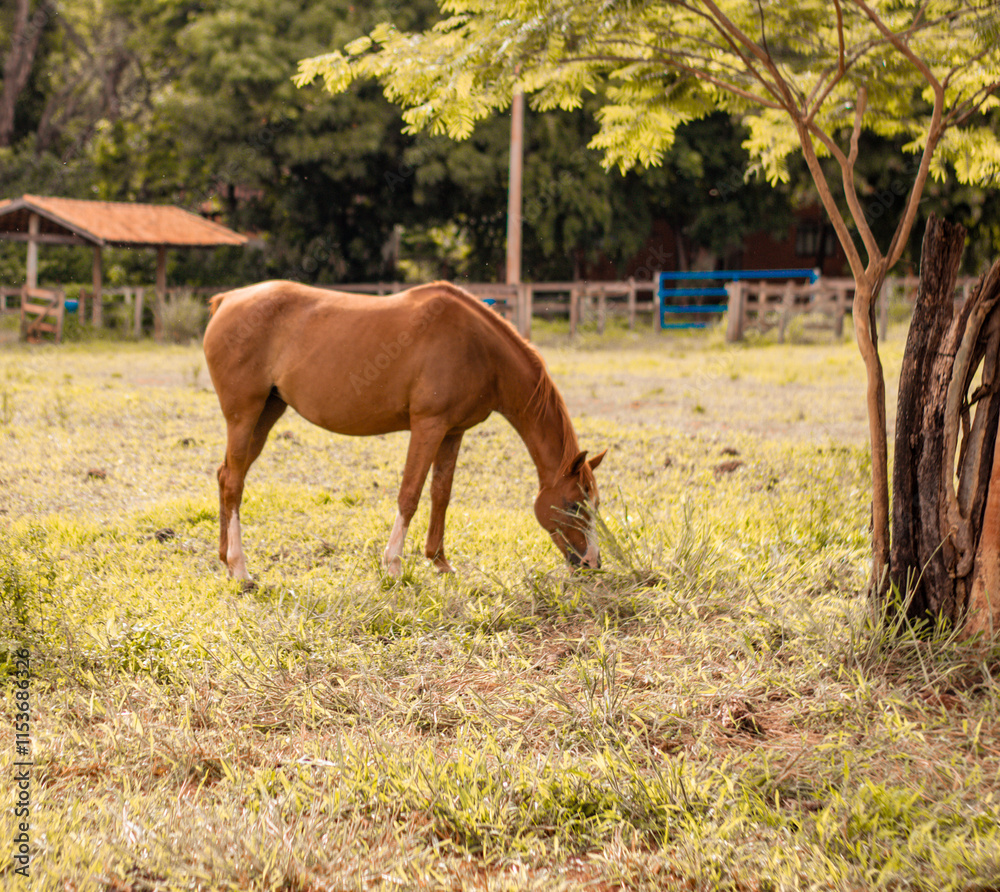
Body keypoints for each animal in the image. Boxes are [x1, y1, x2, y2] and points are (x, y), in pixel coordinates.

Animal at [202, 280, 606, 582]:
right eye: (573, 504)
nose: (592, 564)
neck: (479, 349)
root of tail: (227, 300)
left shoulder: (453, 432)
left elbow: (441, 494)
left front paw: (439, 561)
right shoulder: (428, 426)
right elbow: (409, 494)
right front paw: (394, 565)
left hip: (265, 415)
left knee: (227, 476)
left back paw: (225, 559)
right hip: (244, 416)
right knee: (234, 482)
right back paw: (241, 570)